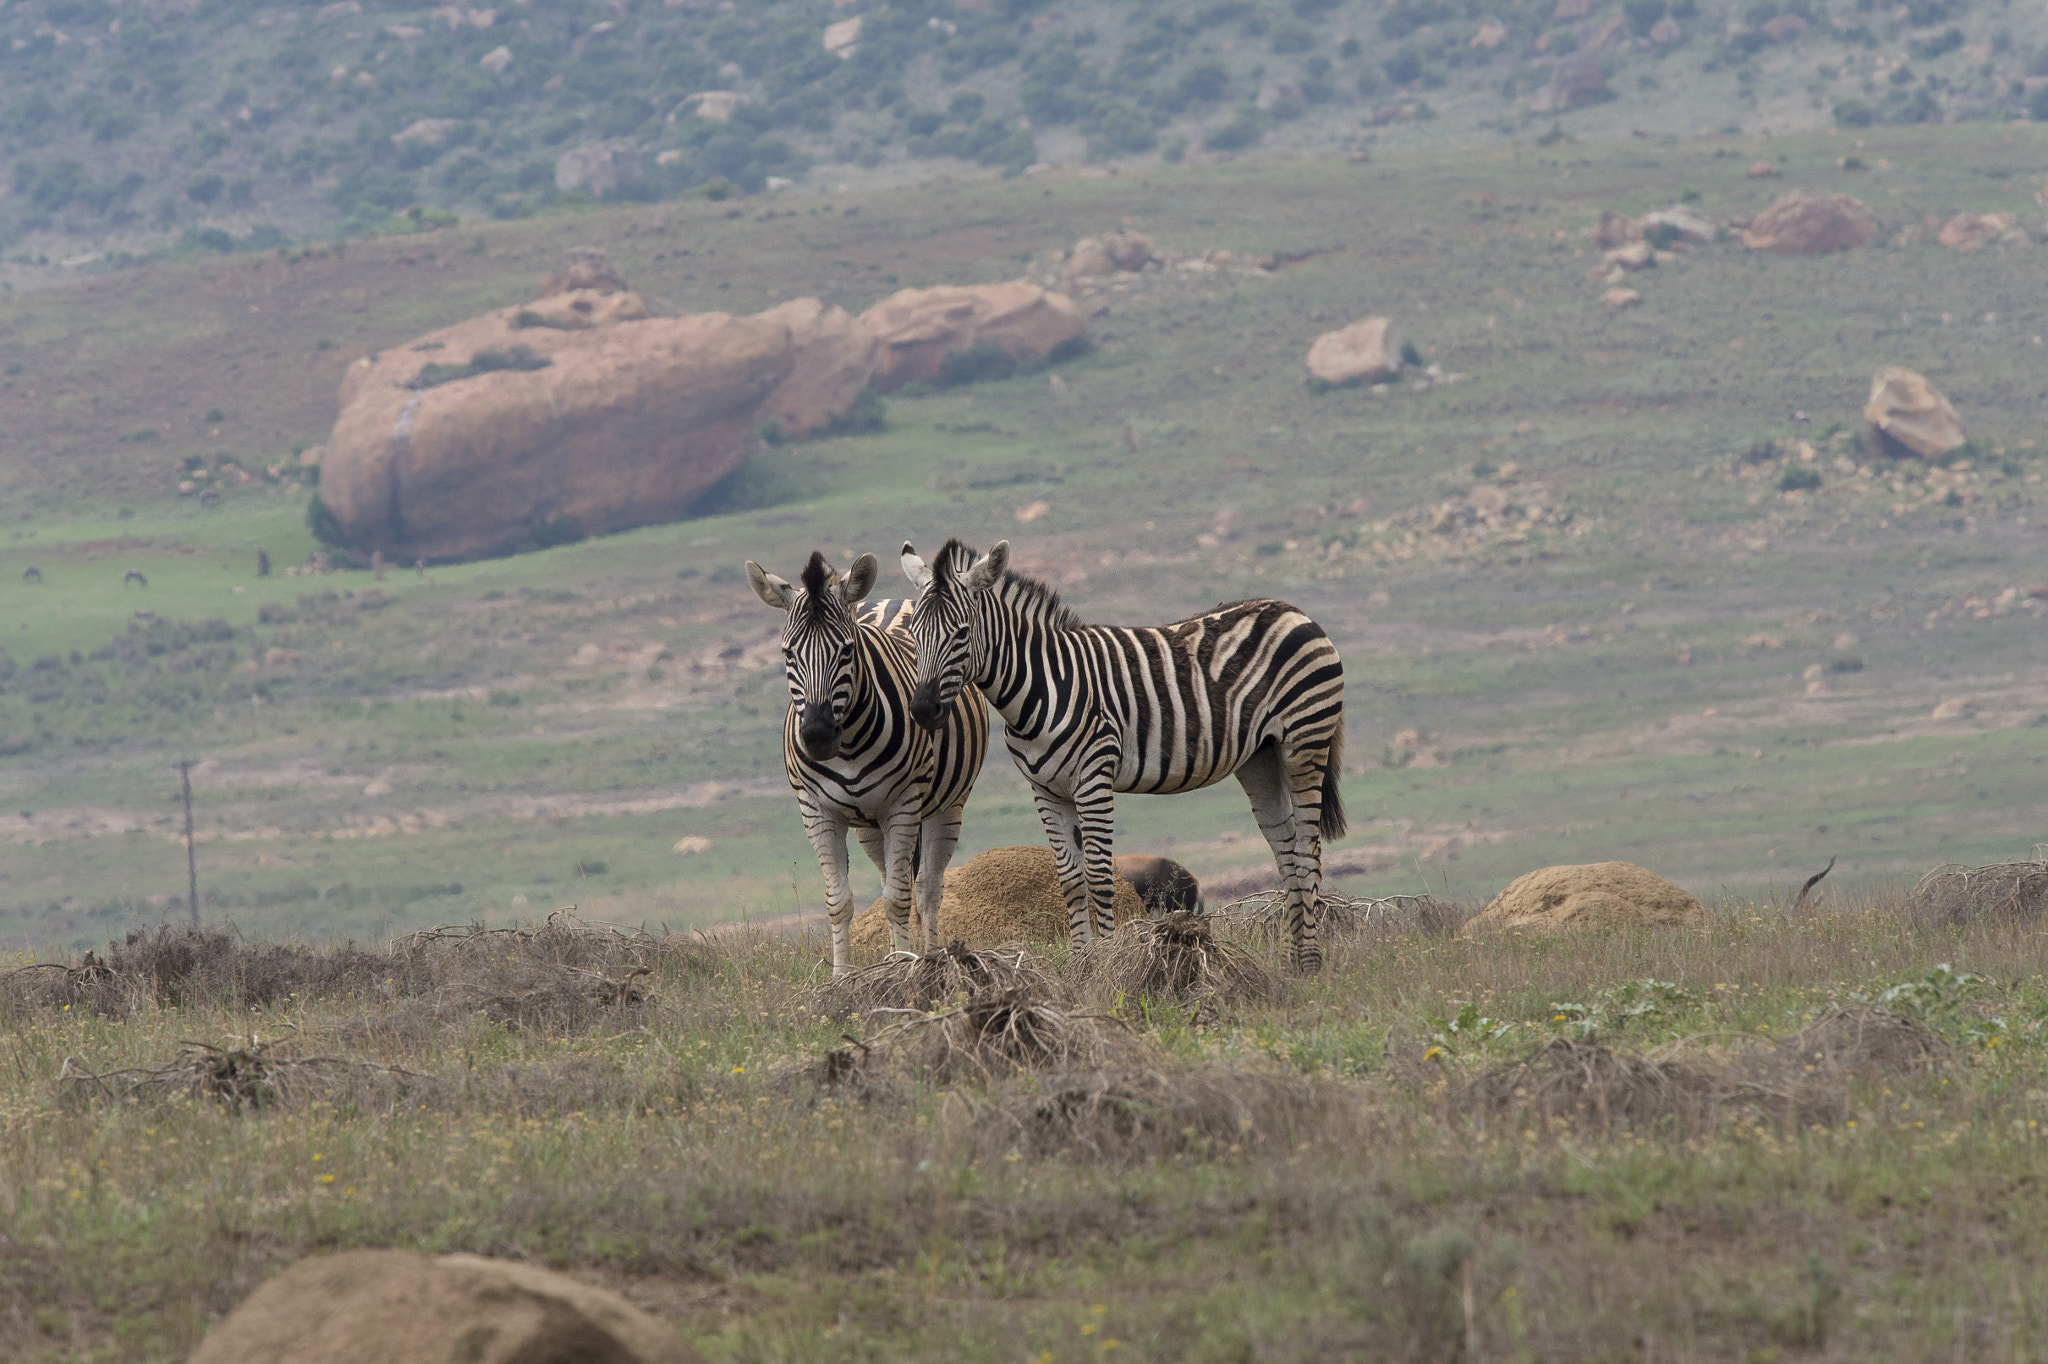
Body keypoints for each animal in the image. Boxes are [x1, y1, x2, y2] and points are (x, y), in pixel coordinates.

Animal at [746, 549, 989, 976]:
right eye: (787, 653)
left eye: (846, 651)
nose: (817, 735)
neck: (849, 747)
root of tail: (893, 599)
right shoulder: (817, 810)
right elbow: (839, 901)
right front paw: (842, 977)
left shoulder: (904, 804)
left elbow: (899, 898)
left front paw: (905, 966)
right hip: (869, 825)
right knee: (891, 877)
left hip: (947, 806)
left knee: (926, 888)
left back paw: (930, 957)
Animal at [900, 538, 1346, 974]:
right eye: (914, 633)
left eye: (961, 633)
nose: (922, 710)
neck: (1040, 686)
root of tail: (1292, 610)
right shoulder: (1045, 790)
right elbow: (1070, 879)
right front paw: (1083, 967)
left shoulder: (1094, 776)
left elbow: (1098, 875)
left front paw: (1108, 963)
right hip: (1260, 757)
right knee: (1286, 851)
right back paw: (1291, 964)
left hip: (1305, 741)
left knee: (1307, 851)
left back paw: (1312, 963)